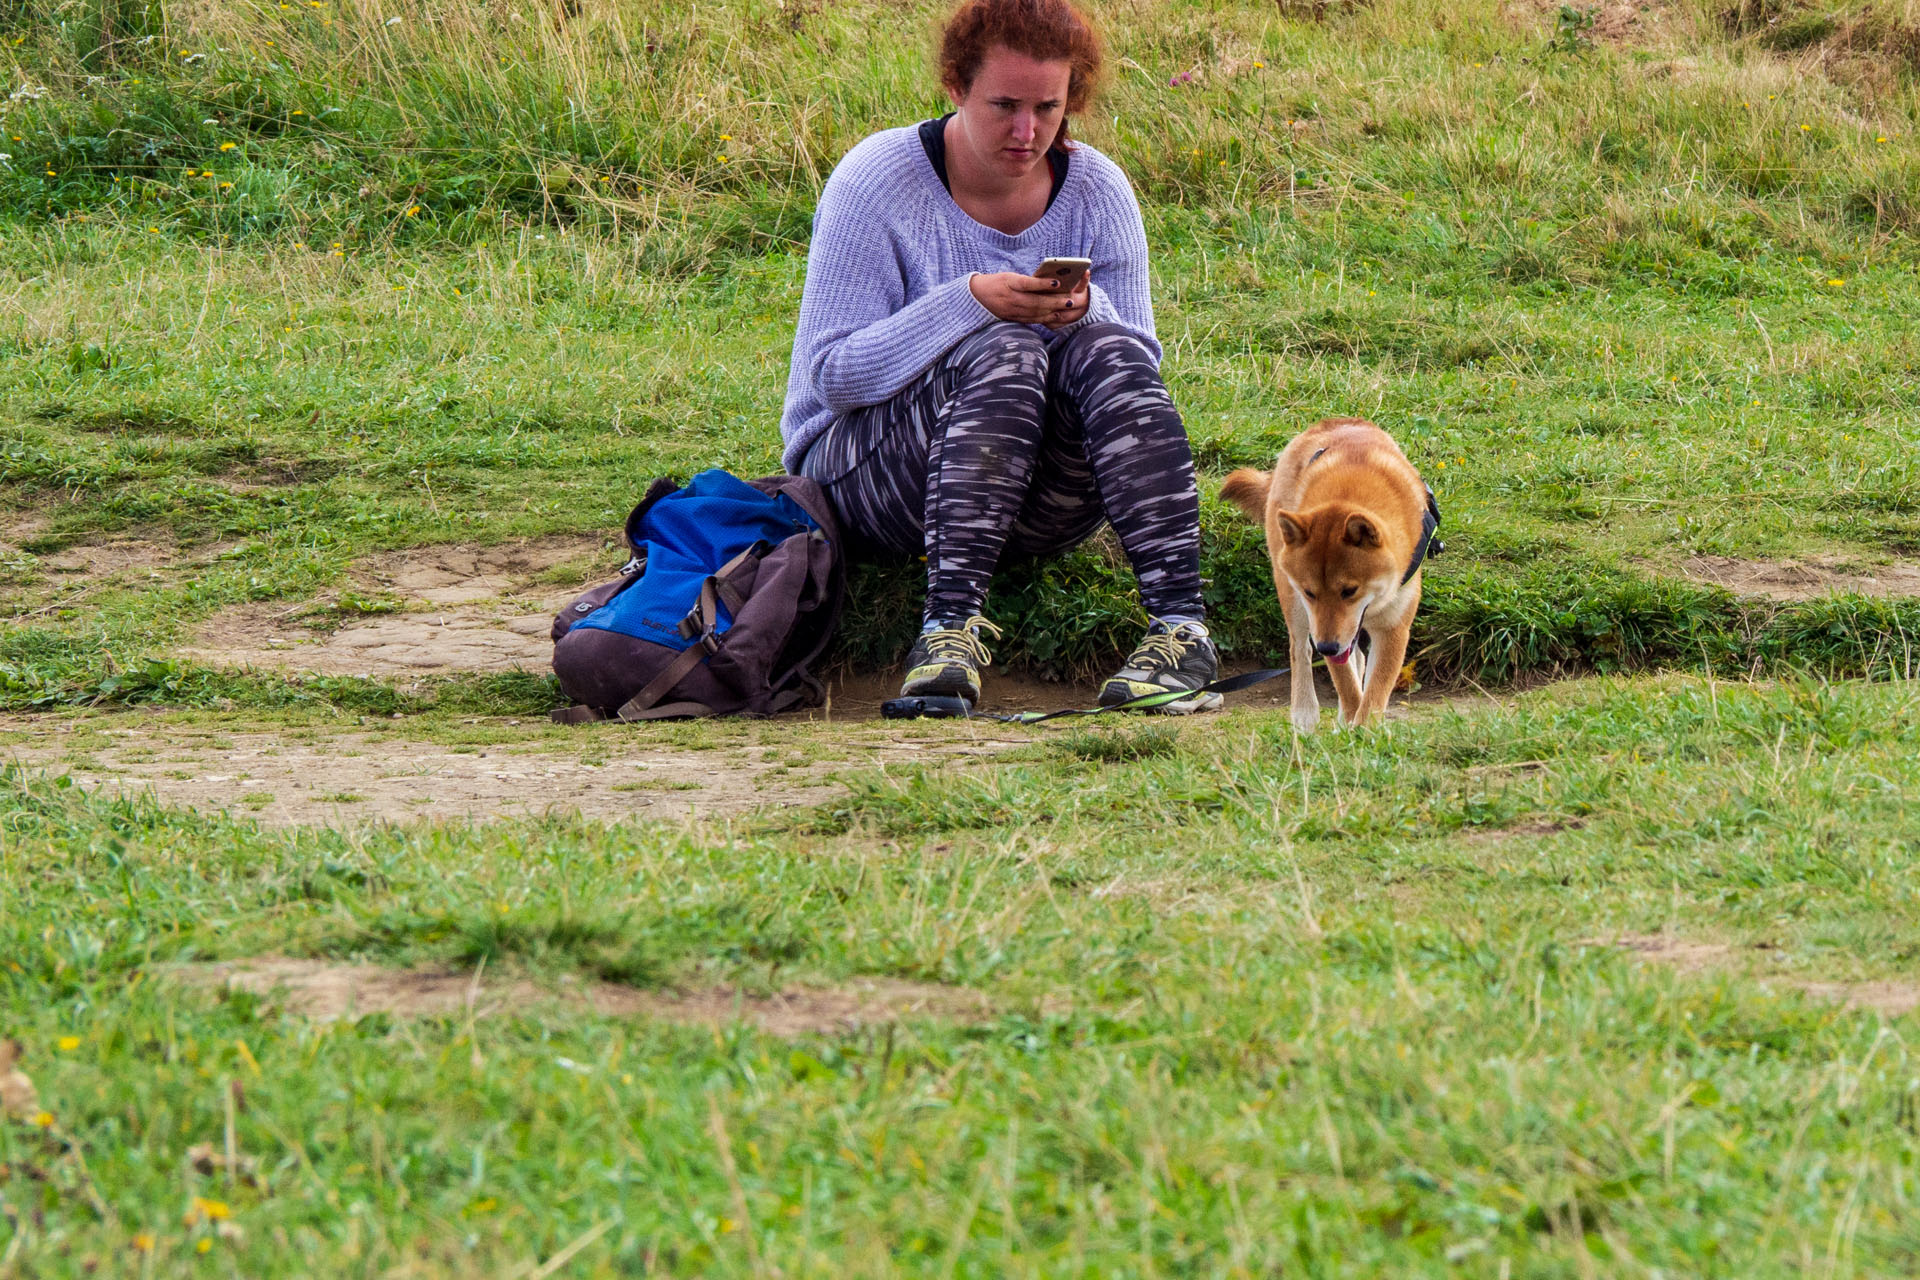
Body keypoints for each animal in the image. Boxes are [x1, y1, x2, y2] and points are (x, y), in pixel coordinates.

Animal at [1221, 420, 1436, 729]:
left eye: (1349, 591)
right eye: (1311, 592)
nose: (1327, 647)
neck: (1352, 489)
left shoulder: (1392, 629)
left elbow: (1374, 695)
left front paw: (1363, 730)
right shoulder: (1324, 628)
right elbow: (1347, 687)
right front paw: (1352, 725)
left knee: (1356, 658)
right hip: (1295, 607)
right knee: (1300, 653)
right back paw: (1305, 717)